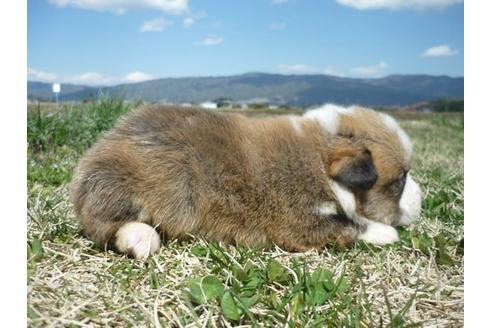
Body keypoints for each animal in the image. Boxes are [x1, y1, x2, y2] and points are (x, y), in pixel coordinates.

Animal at [70, 104, 422, 258]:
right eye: (401, 178)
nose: (423, 197)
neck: (322, 157)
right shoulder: (300, 221)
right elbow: (350, 227)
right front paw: (385, 232)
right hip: (125, 184)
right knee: (104, 225)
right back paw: (140, 238)